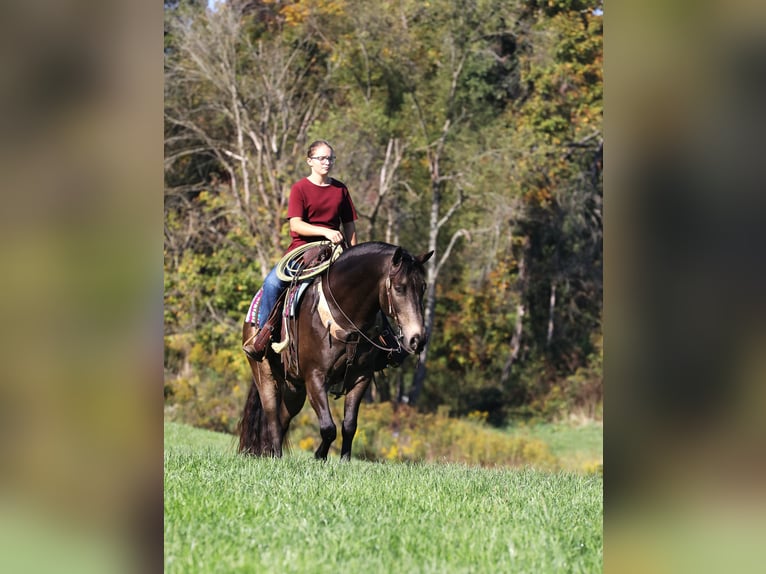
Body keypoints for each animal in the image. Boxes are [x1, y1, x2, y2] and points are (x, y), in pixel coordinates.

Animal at [237, 243, 436, 464]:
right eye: (400, 288)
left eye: (423, 287)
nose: (417, 339)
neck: (345, 315)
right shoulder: (315, 377)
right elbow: (328, 428)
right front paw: (319, 456)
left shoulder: (361, 377)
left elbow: (349, 425)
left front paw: (344, 461)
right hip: (264, 374)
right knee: (272, 416)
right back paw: (276, 456)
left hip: (294, 387)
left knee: (283, 419)